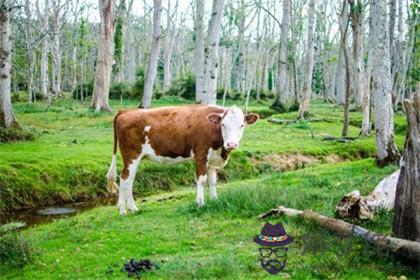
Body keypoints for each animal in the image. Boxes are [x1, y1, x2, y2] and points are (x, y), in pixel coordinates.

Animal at [106, 104, 260, 215]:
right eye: (223, 125)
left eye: (242, 125)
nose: (231, 144)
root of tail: (126, 111)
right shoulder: (201, 155)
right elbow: (201, 180)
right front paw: (200, 203)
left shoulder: (212, 159)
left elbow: (213, 181)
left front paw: (214, 200)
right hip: (132, 155)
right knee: (126, 179)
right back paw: (127, 209)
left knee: (126, 179)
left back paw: (127, 209)